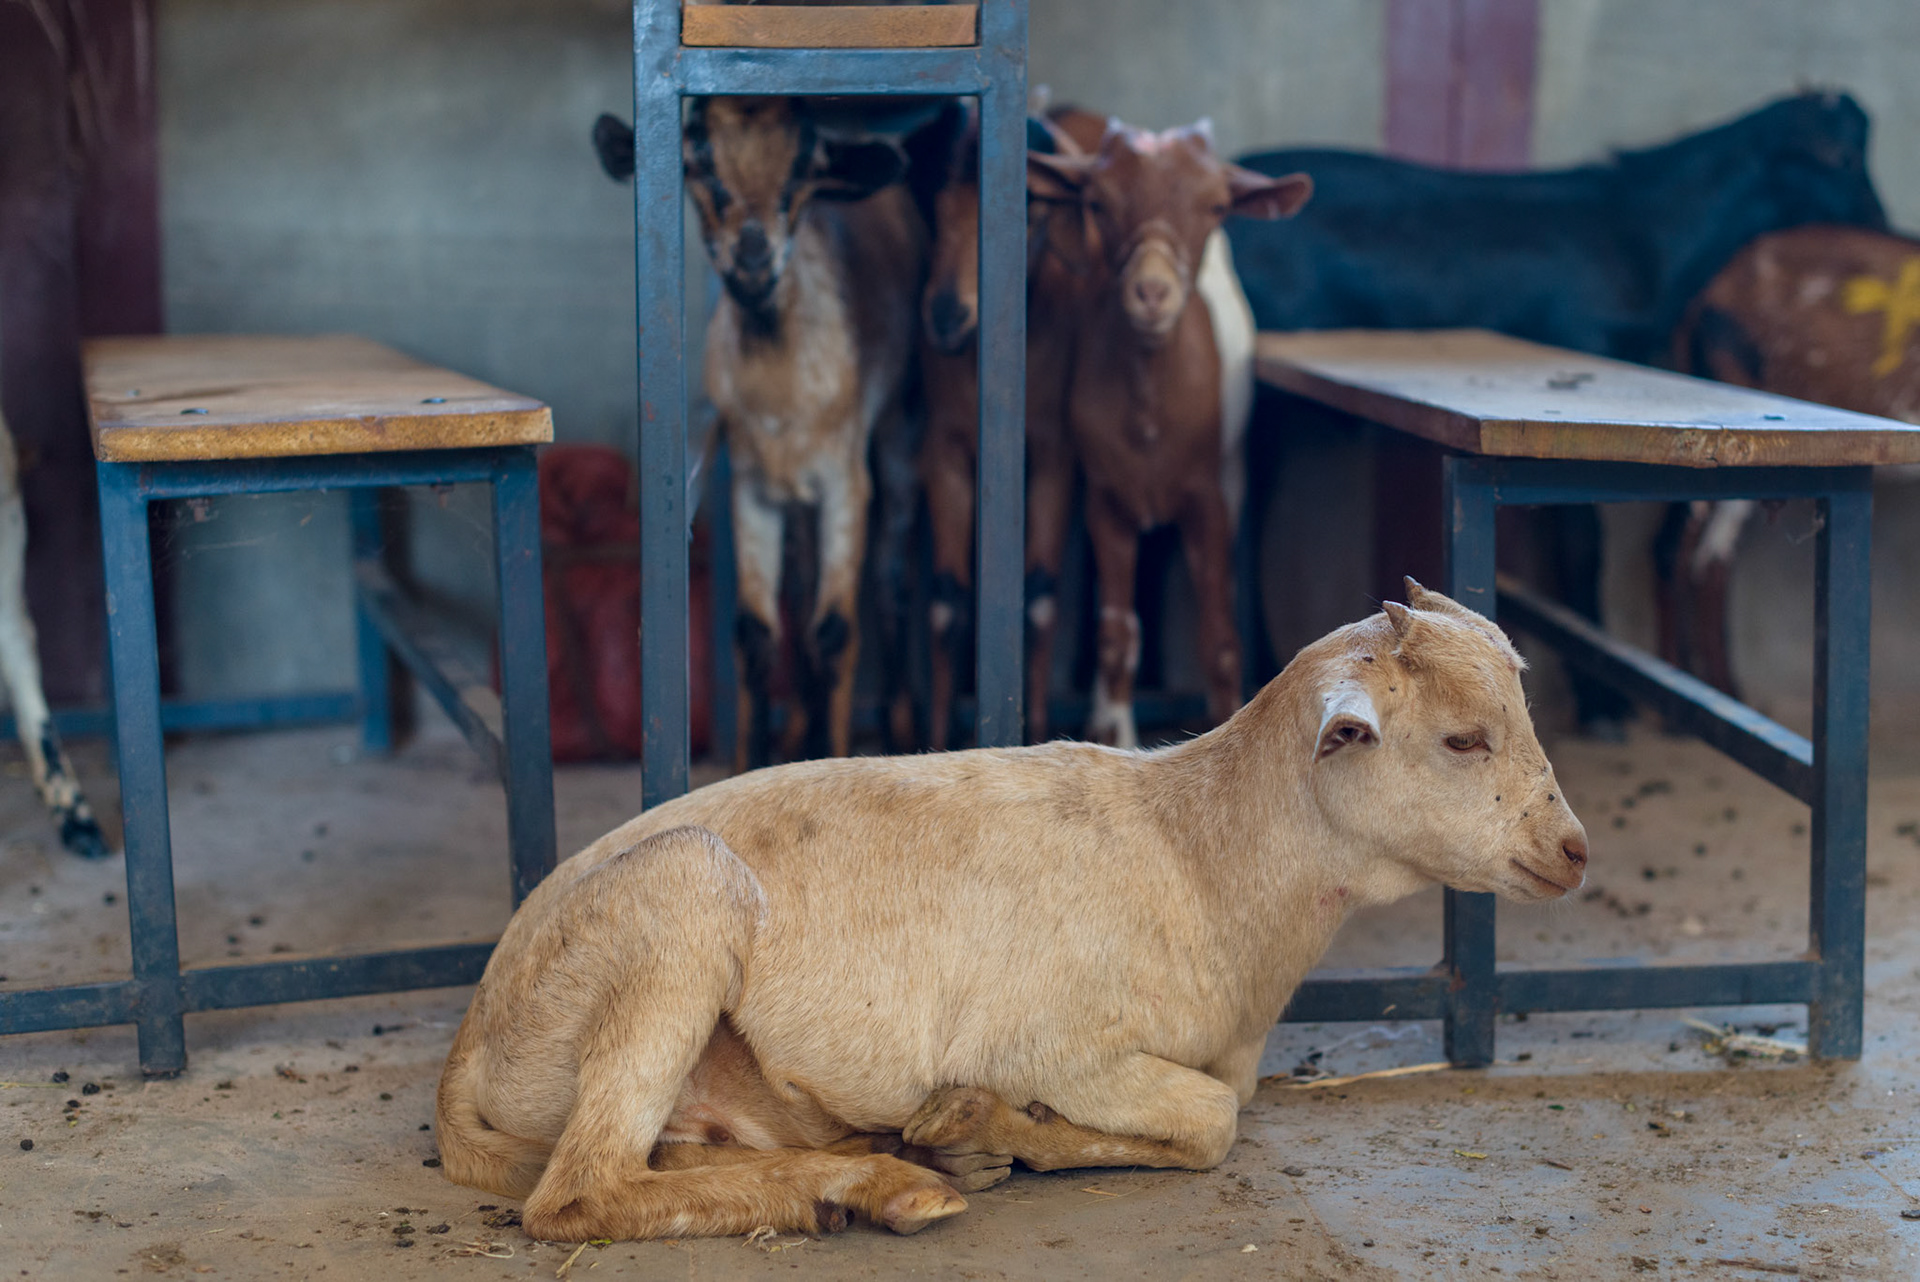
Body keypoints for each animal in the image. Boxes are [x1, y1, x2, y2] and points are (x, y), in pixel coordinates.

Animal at [435, 579, 1589, 1241]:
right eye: (1463, 738)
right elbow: (1210, 1124)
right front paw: (979, 1123)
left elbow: (1208, 1114)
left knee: (660, 1156)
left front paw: (986, 1135)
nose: (1573, 851)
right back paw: (882, 1182)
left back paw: (866, 1173)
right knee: (578, 1194)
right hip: (676, 903)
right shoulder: (1057, 1043)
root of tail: (470, 1043)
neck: (1199, 856)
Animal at [595, 99, 925, 767]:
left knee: (890, 572)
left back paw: (899, 724)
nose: (752, 255)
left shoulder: (844, 479)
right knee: (799, 583)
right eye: (696, 164)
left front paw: (837, 753)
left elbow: (836, 629)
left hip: (898, 426)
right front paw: (754, 762)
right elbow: (754, 630)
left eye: (803, 170)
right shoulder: (751, 484)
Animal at [1027, 119, 1309, 747]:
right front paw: (1118, 738)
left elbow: (1221, 645)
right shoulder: (1107, 501)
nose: (1152, 292)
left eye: (1216, 207)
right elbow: (1116, 638)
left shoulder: (1213, 494)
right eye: (1098, 203)